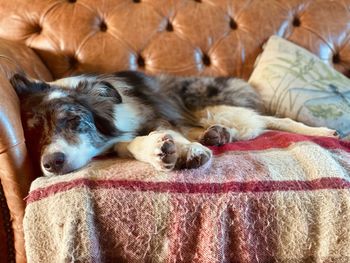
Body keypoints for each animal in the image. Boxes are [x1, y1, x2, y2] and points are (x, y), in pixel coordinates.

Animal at [9, 71, 338, 177]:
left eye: (75, 121)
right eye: (33, 135)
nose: (51, 163)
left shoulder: (157, 114)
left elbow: (167, 130)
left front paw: (185, 151)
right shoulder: (119, 140)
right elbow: (130, 144)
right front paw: (159, 151)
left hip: (204, 104)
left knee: (266, 120)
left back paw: (323, 131)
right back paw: (215, 135)